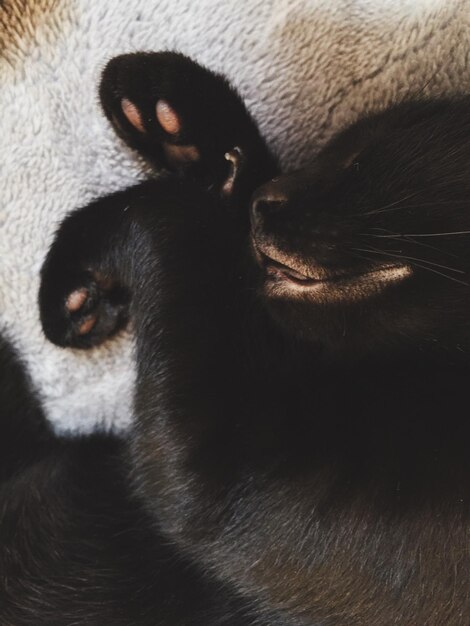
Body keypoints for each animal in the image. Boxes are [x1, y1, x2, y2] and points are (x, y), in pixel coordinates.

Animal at [3, 52, 470, 624]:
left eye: (360, 162)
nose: (265, 201)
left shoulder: (230, 469)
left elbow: (175, 215)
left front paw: (75, 264)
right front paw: (178, 116)